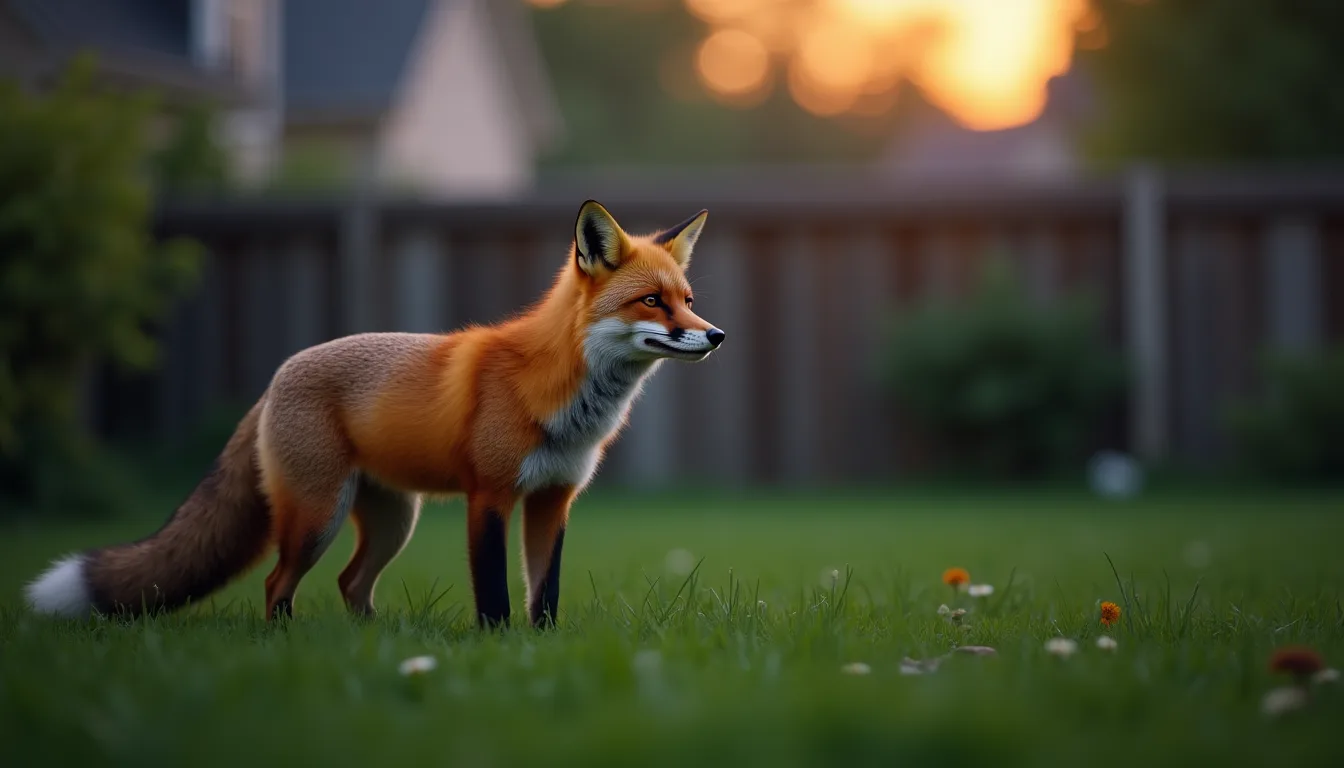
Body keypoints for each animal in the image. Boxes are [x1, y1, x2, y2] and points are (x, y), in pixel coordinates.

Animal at [24, 200, 725, 629]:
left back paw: (373, 643)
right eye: (652, 301)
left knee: (349, 585)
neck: (562, 396)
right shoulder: (490, 497)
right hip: (316, 517)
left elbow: (543, 595)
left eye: (689, 300)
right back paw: (288, 646)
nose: (715, 335)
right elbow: (496, 595)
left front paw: (542, 647)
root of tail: (275, 380)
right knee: (277, 584)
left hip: (393, 522)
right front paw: (500, 651)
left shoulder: (553, 500)